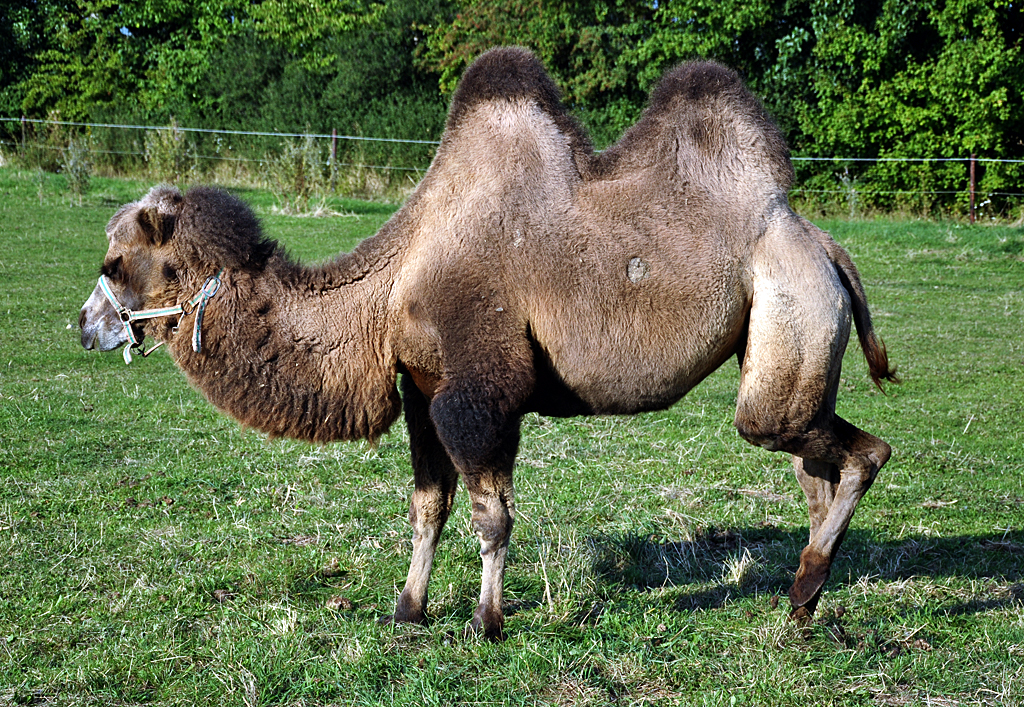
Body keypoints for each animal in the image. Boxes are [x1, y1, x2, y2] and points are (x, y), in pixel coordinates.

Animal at [79, 46, 897, 635]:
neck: (389, 288)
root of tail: (823, 243)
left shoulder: (478, 392)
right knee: (813, 463)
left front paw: (487, 620)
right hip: (789, 342)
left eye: (115, 264)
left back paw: (809, 581)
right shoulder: (423, 389)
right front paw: (408, 610)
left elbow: (491, 515)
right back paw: (802, 599)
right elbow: (427, 507)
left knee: (854, 450)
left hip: (791, 318)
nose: (84, 325)